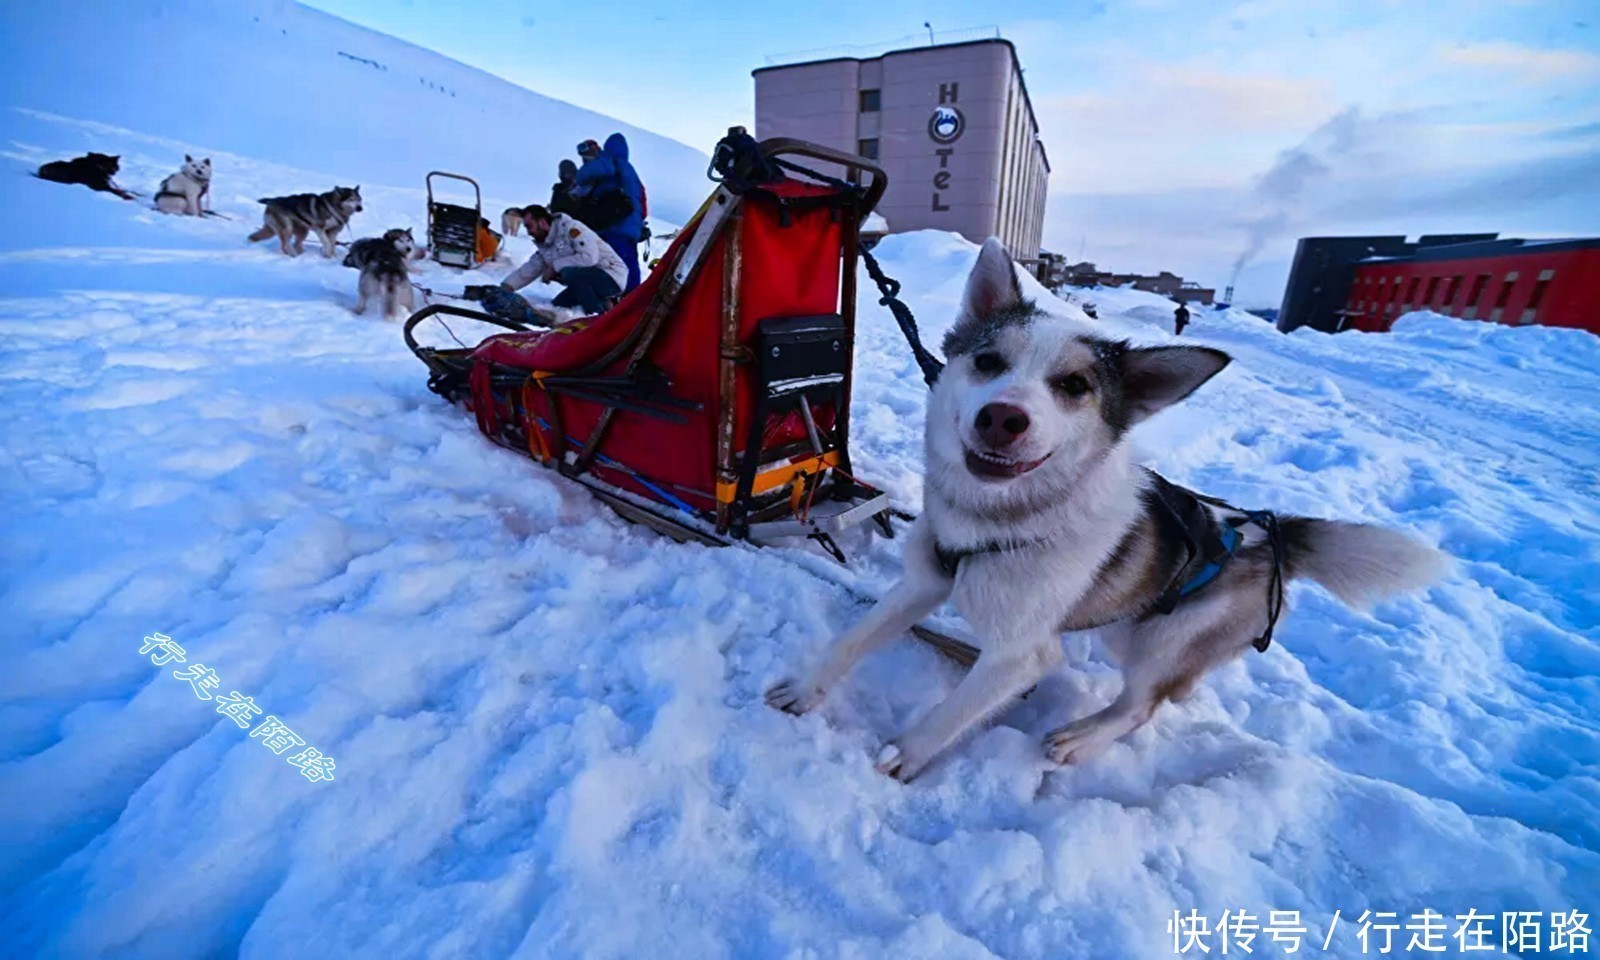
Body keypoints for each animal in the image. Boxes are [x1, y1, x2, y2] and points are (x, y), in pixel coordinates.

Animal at [768, 238, 1459, 780]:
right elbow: (851, 640)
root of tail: (1273, 534)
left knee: (1142, 706)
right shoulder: (922, 583)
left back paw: (1082, 738)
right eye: (988, 361)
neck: (1003, 521)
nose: (1003, 417)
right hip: (1129, 625)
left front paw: (900, 759)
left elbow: (952, 711)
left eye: (1075, 386)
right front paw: (805, 689)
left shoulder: (1021, 656)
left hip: (1162, 640)